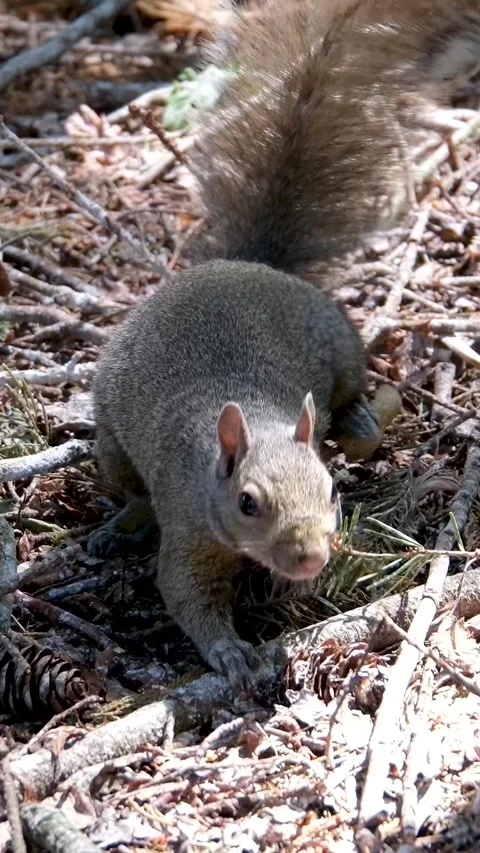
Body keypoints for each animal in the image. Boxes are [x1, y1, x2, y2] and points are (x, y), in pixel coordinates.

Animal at [89, 0, 480, 689]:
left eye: (332, 491)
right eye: (248, 503)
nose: (308, 557)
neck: (256, 421)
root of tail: (245, 264)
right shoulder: (189, 524)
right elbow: (184, 593)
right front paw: (228, 652)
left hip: (338, 339)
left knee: (352, 386)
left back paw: (359, 420)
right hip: (112, 444)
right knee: (131, 490)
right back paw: (125, 523)